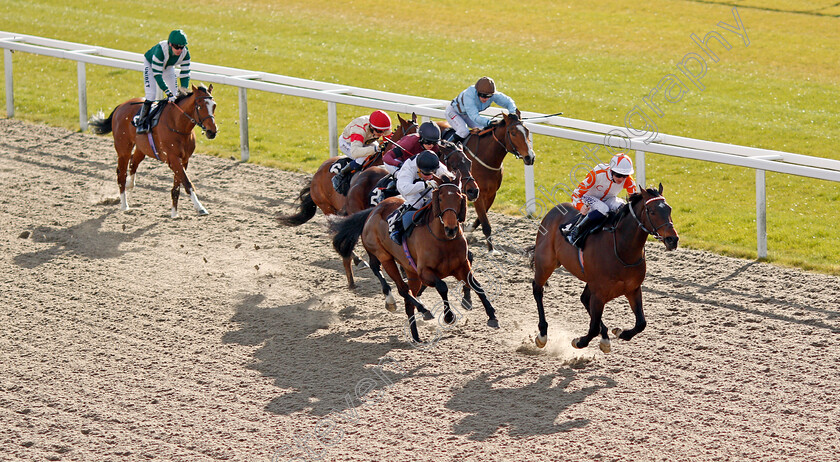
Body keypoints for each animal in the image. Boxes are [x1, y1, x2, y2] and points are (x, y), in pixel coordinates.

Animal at [88, 85, 218, 218]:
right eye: (200, 106)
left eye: (214, 105)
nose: (212, 131)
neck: (177, 125)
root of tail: (120, 106)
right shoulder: (173, 159)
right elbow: (187, 183)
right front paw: (200, 208)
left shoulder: (184, 160)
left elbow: (177, 187)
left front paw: (174, 214)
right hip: (123, 148)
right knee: (121, 175)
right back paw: (124, 205)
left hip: (142, 148)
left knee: (133, 163)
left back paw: (130, 185)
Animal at [330, 175, 498, 344]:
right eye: (441, 198)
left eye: (459, 198)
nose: (451, 228)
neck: (443, 240)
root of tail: (372, 212)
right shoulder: (425, 272)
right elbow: (442, 286)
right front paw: (449, 316)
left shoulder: (462, 267)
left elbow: (476, 285)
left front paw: (492, 315)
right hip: (385, 257)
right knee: (400, 288)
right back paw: (419, 309)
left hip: (411, 272)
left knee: (408, 300)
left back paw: (416, 335)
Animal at [460, 111, 532, 256]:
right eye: (513, 133)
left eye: (527, 131)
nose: (530, 157)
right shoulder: (476, 193)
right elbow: (486, 224)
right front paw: (491, 250)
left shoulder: (491, 193)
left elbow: (481, 218)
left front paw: (469, 227)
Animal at [532, 186, 684, 352]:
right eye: (652, 211)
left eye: (669, 209)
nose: (672, 239)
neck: (623, 250)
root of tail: (553, 210)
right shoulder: (599, 292)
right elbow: (593, 328)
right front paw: (579, 341)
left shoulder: (633, 289)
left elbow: (641, 323)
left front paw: (621, 333)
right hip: (545, 263)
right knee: (537, 289)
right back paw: (542, 334)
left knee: (584, 298)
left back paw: (605, 337)